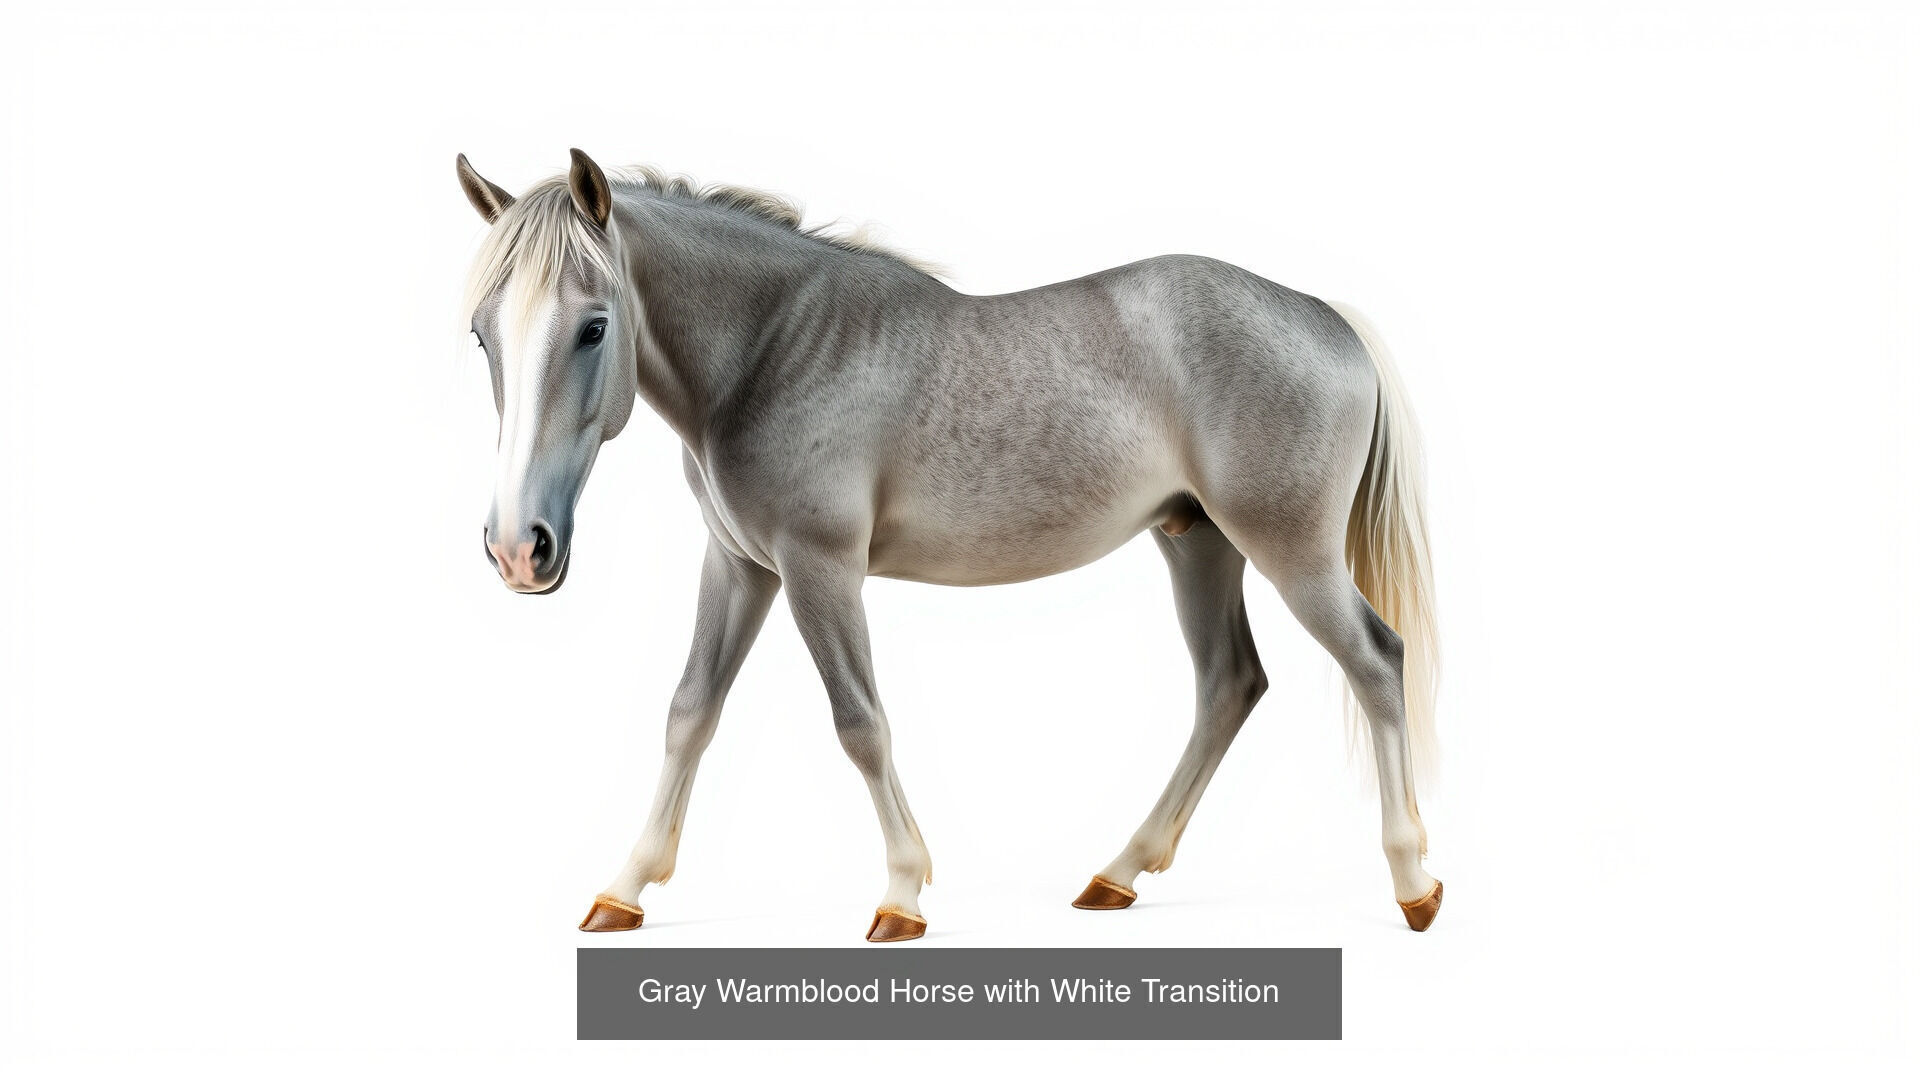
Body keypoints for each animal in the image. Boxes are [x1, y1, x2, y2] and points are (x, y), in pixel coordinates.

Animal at [456, 149, 1443, 942]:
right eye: (481, 333)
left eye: (594, 325)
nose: (517, 550)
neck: (771, 348)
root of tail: (1325, 315)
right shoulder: (740, 567)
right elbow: (690, 712)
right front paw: (624, 889)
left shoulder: (818, 567)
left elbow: (860, 722)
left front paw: (901, 895)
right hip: (1197, 546)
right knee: (1230, 685)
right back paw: (1117, 874)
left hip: (1292, 553)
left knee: (1376, 660)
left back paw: (1414, 883)